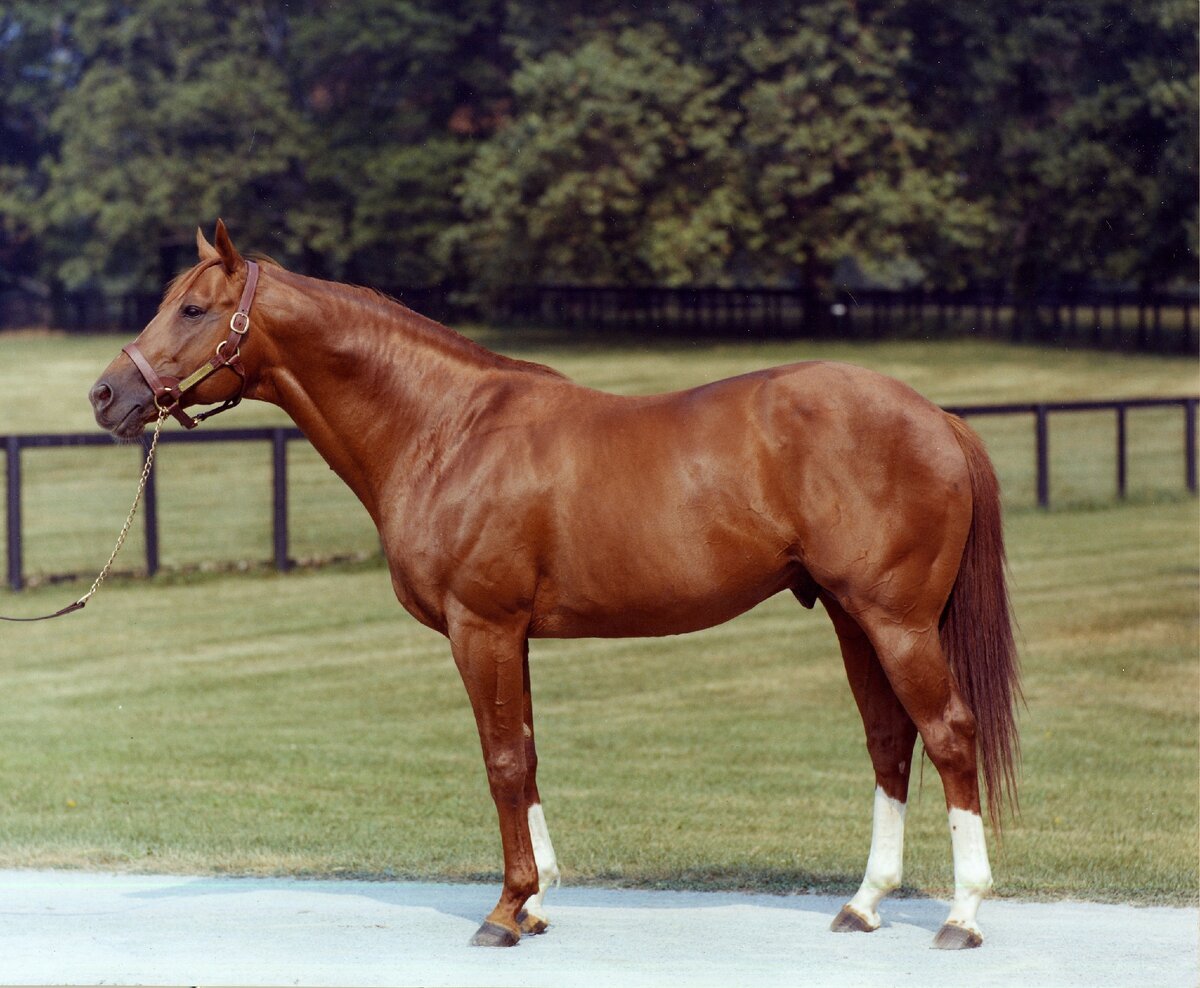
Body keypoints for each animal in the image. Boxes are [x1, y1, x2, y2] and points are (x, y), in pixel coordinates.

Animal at [88, 222, 1017, 950]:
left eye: (193, 310)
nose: (105, 394)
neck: (444, 427)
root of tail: (937, 417)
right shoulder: (513, 636)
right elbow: (527, 752)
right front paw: (534, 904)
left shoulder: (482, 627)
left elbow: (501, 760)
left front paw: (504, 912)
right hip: (854, 619)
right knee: (889, 741)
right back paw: (864, 905)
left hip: (896, 621)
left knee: (948, 734)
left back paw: (963, 916)